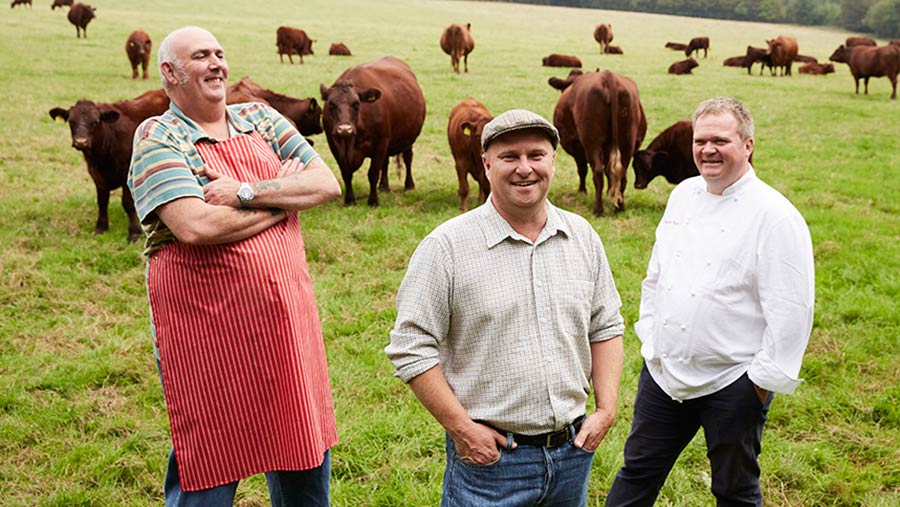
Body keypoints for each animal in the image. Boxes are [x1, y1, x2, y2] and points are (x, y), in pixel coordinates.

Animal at [48, 89, 169, 242]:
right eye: (71, 121)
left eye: (95, 122)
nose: (81, 142)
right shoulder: (96, 173)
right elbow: (102, 202)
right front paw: (101, 227)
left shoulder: (126, 172)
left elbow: (128, 203)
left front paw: (134, 232)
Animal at [320, 56, 426, 206]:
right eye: (331, 104)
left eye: (356, 104)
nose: (345, 129)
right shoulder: (334, 145)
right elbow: (346, 173)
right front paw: (349, 200)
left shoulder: (380, 142)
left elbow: (373, 173)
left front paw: (373, 201)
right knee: (386, 162)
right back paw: (384, 186)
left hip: (407, 139)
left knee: (408, 158)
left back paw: (409, 186)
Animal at [544, 68, 644, 215]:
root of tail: (608, 76)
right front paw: (609, 193)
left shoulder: (577, 147)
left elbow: (582, 169)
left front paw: (582, 191)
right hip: (627, 141)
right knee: (621, 174)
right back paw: (619, 207)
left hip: (592, 142)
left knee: (597, 173)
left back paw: (598, 210)